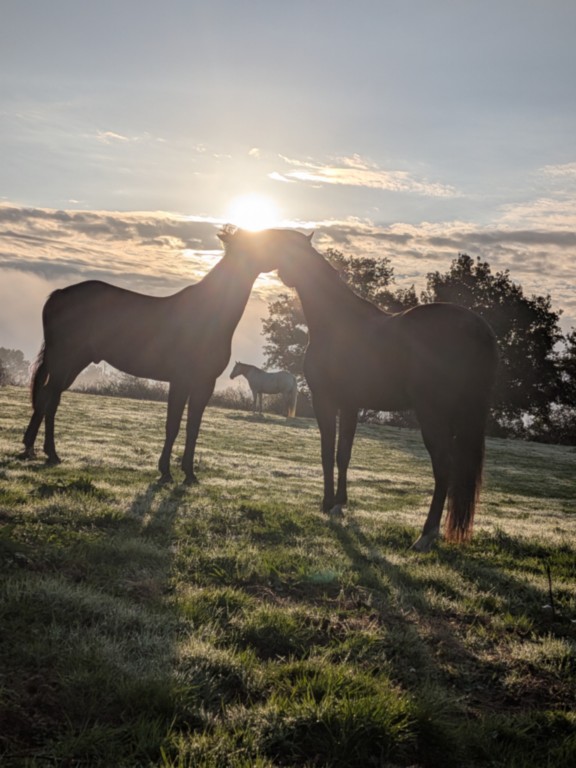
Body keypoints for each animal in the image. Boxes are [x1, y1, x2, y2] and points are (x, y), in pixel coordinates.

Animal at [21, 236, 279, 484]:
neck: (209, 312)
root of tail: (59, 294)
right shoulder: (183, 380)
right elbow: (174, 424)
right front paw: (167, 471)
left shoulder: (202, 383)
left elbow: (192, 427)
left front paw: (188, 474)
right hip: (65, 360)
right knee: (50, 398)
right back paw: (50, 453)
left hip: (72, 363)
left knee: (47, 396)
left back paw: (31, 448)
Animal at [219, 228, 499, 552]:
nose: (231, 243)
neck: (336, 320)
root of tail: (478, 328)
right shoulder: (351, 405)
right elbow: (344, 453)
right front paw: (340, 503)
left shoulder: (325, 400)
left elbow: (327, 451)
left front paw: (327, 503)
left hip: (433, 414)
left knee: (443, 466)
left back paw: (425, 535)